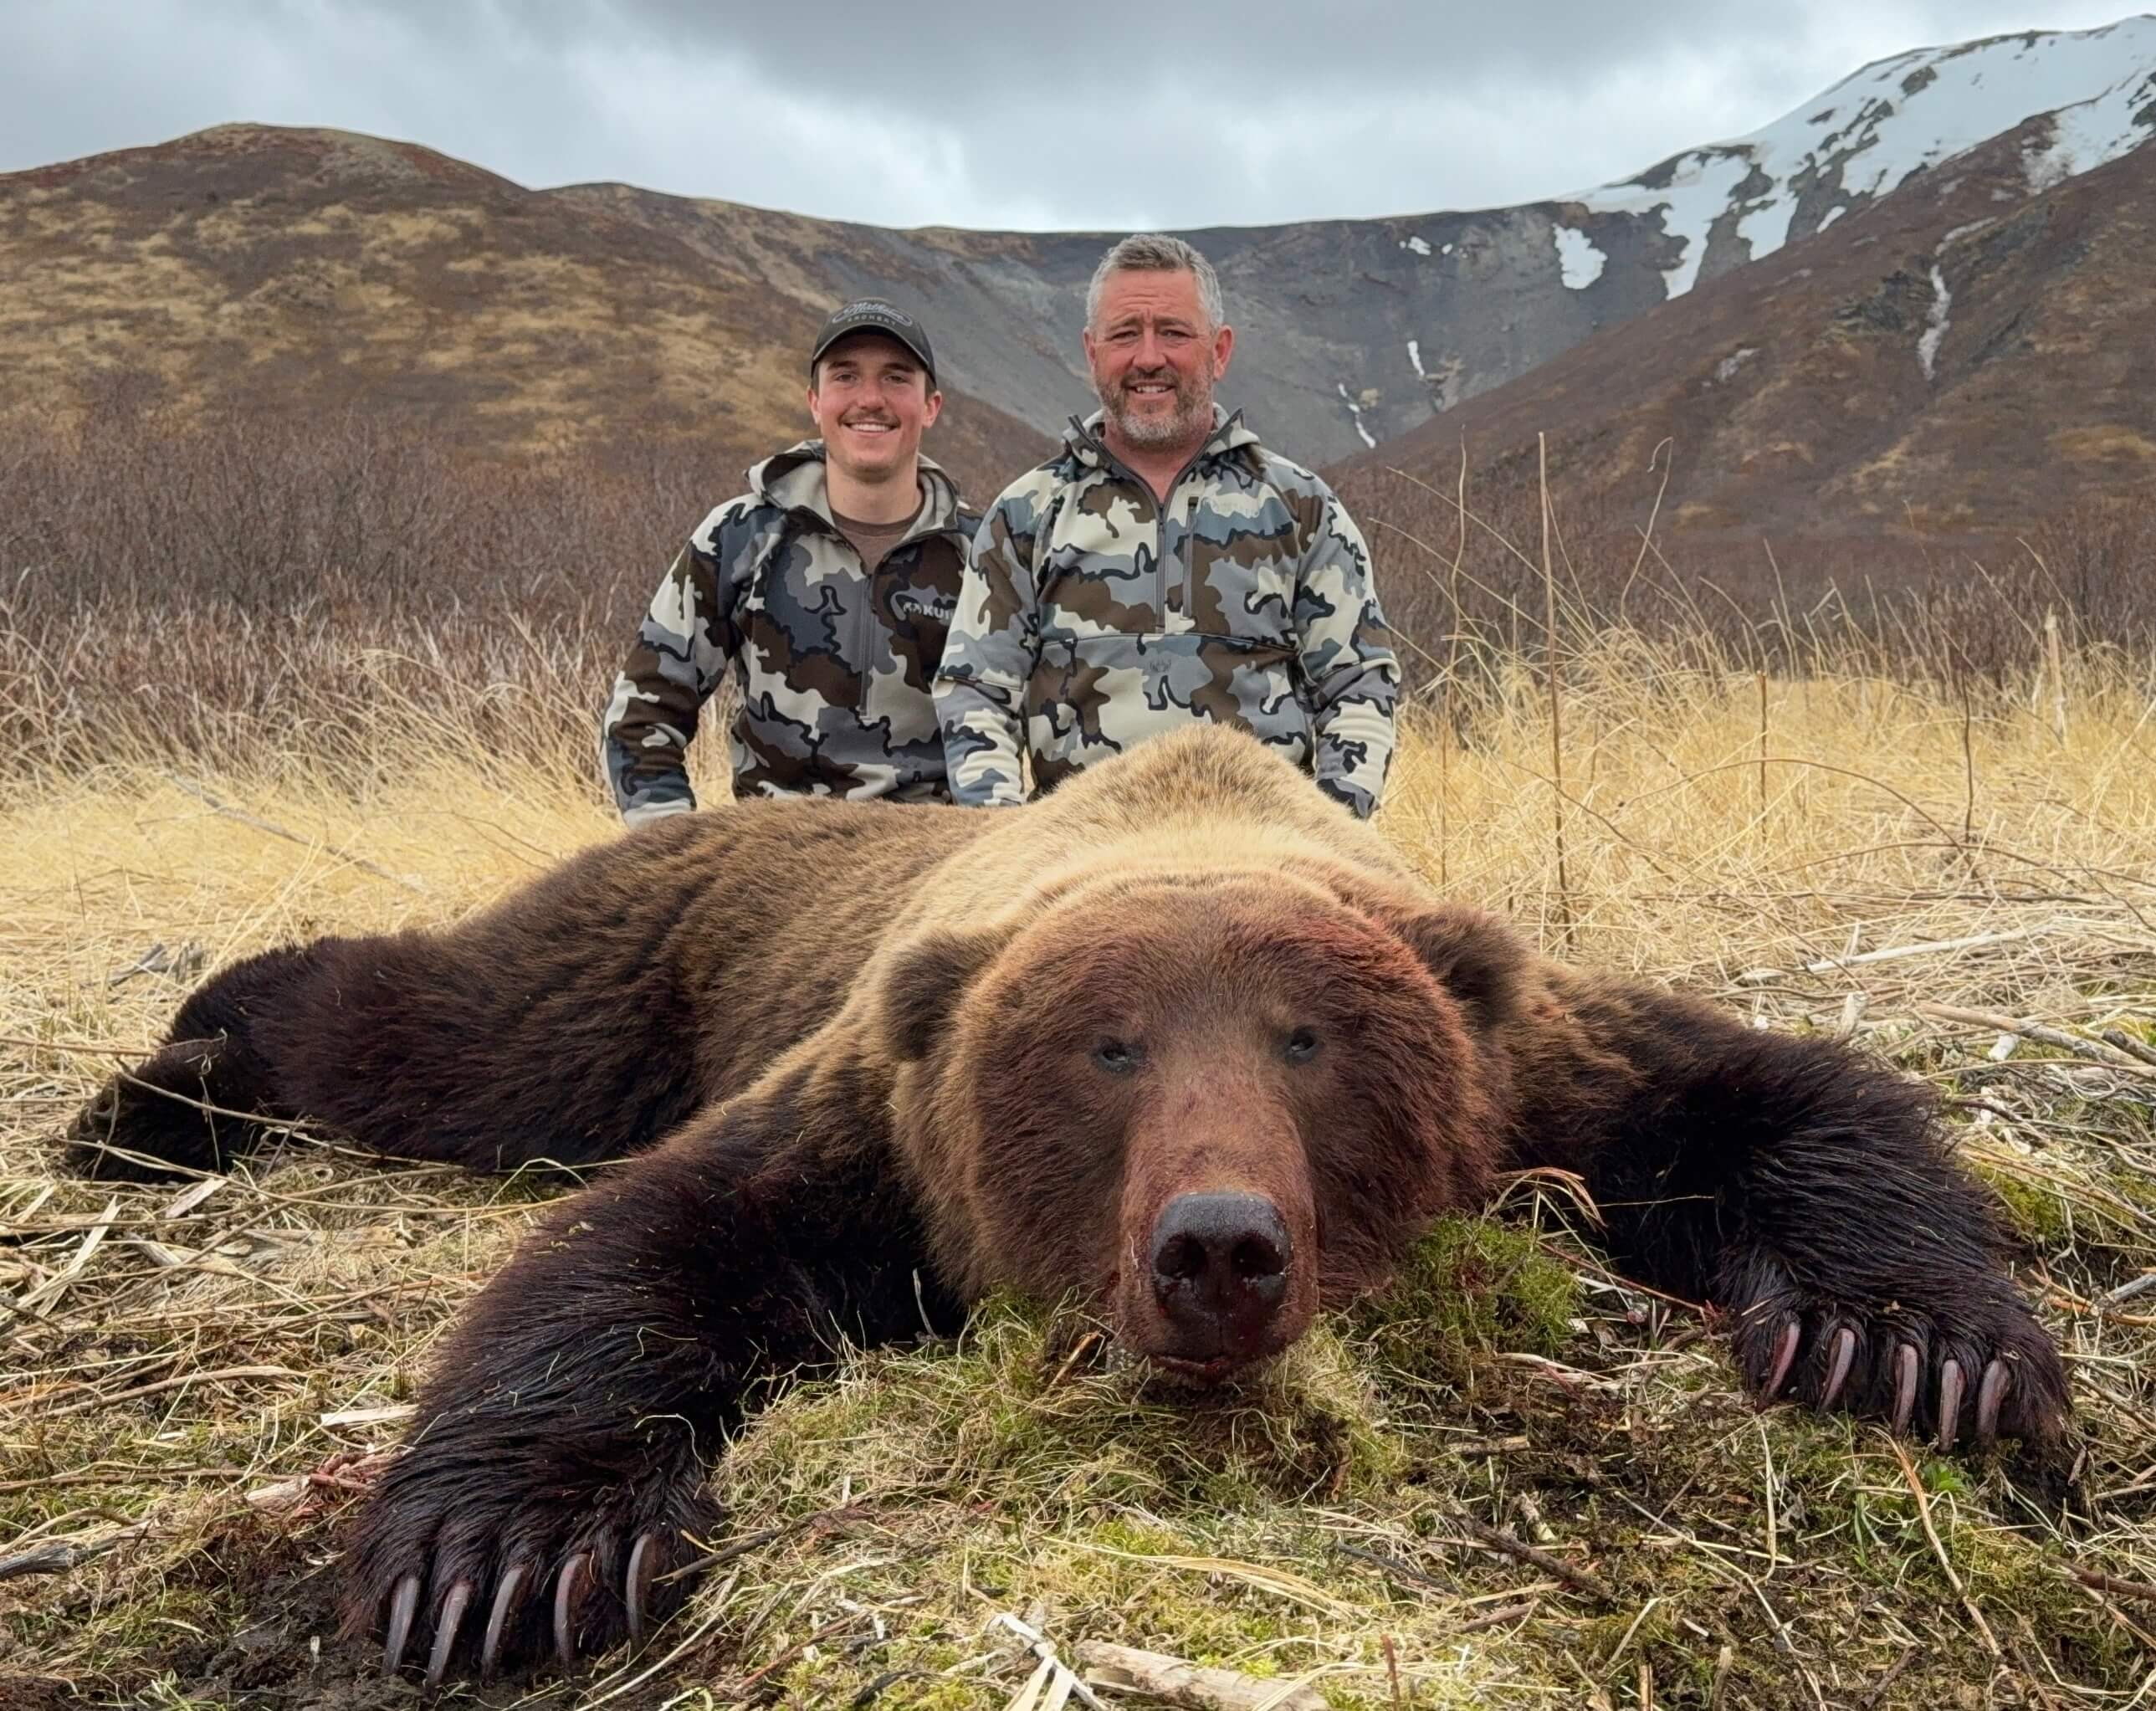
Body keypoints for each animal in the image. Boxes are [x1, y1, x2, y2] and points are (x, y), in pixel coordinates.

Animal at [65, 723, 2069, 1690]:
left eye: (1310, 1040)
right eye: (1103, 1051)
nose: (1217, 1247)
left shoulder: (1539, 1061)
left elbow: (1784, 1097)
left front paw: (1918, 1347)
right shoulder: (870, 1111)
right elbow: (637, 1248)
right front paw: (510, 1558)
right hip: (630, 979)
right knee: (423, 1028)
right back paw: (142, 1095)